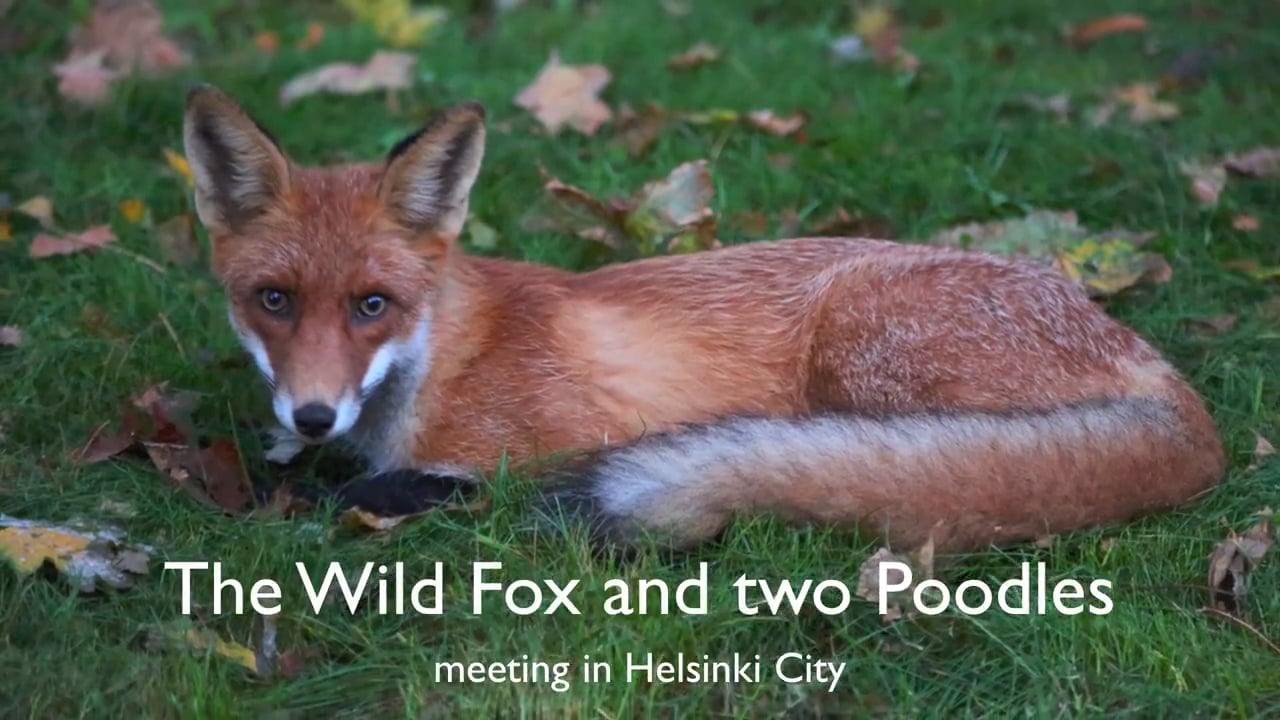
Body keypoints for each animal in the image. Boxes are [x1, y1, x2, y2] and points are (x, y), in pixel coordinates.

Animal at [183, 83, 1228, 550]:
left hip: (861, 347)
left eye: (373, 305)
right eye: (274, 302)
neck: (445, 360)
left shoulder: (562, 438)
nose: (313, 414)